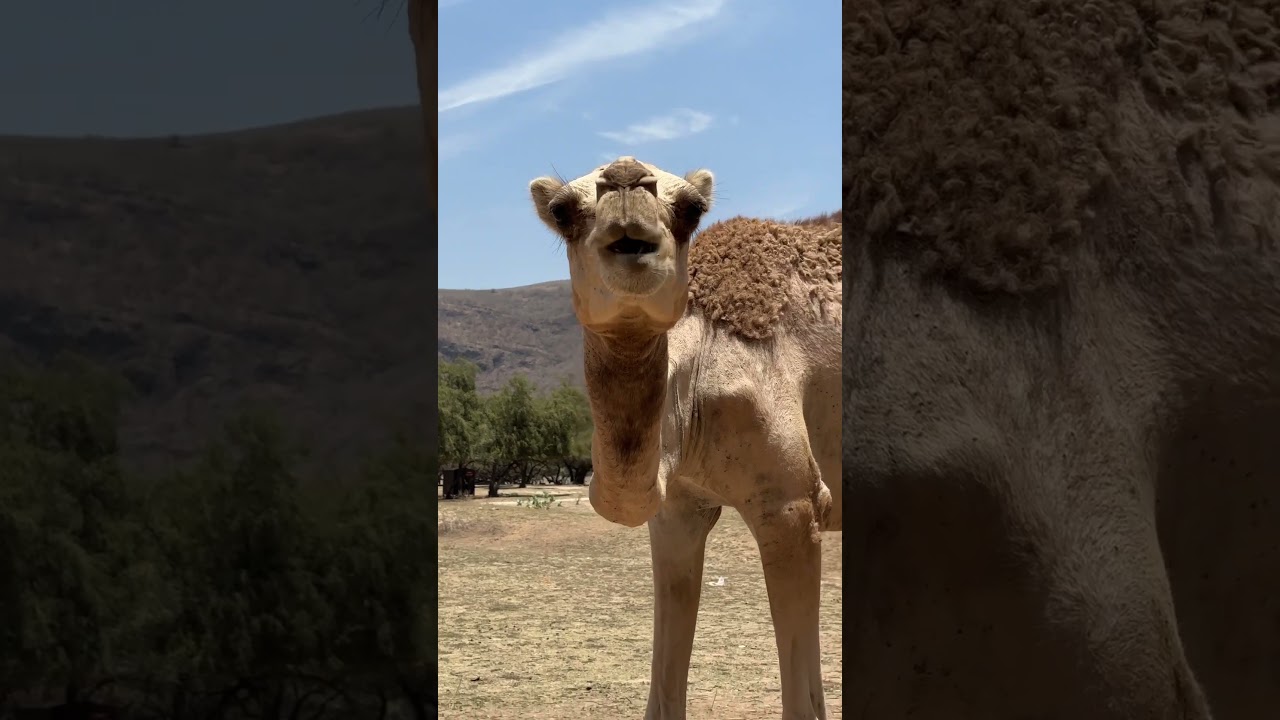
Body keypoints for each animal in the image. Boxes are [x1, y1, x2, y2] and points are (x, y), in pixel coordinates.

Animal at [528, 157, 842, 719]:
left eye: (691, 209)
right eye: (562, 211)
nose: (626, 175)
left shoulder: (792, 504)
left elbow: (802, 701)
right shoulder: (677, 509)